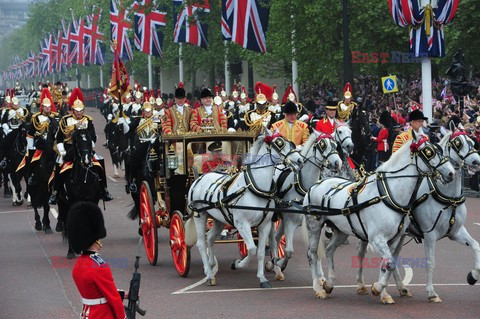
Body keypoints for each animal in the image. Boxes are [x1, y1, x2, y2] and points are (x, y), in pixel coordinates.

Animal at [58, 128, 103, 260]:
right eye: (78, 142)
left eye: (89, 139)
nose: (87, 160)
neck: (84, 180)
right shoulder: (74, 203)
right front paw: (72, 251)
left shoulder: (93, 202)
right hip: (62, 204)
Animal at [186, 129, 302, 288]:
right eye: (279, 143)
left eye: (291, 143)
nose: (300, 161)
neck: (255, 188)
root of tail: (199, 178)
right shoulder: (242, 224)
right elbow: (252, 249)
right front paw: (237, 263)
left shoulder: (265, 225)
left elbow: (260, 252)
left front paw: (262, 278)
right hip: (200, 216)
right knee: (201, 243)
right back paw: (209, 275)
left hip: (219, 219)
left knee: (210, 238)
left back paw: (210, 264)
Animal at [268, 130, 344, 280]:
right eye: (322, 145)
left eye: (335, 144)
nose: (337, 163)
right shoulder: (291, 222)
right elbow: (289, 251)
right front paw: (279, 262)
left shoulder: (314, 224)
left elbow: (314, 250)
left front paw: (320, 275)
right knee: (272, 238)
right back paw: (274, 264)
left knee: (276, 237)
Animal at [302, 134, 456, 302]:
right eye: (429, 152)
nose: (451, 173)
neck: (388, 196)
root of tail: (317, 184)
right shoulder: (377, 238)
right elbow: (389, 263)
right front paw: (377, 288)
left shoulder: (393, 239)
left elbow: (388, 264)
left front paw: (384, 293)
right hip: (314, 226)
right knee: (312, 254)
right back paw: (318, 288)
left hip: (342, 231)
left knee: (329, 249)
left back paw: (329, 283)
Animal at [354, 131, 480, 304]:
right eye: (457, 143)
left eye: (471, 141)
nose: (476, 161)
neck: (448, 197)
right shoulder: (430, 234)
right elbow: (430, 262)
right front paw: (431, 292)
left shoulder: (456, 232)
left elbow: (476, 246)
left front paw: (472, 276)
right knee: (362, 253)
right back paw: (363, 285)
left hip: (399, 235)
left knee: (392, 257)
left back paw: (401, 288)